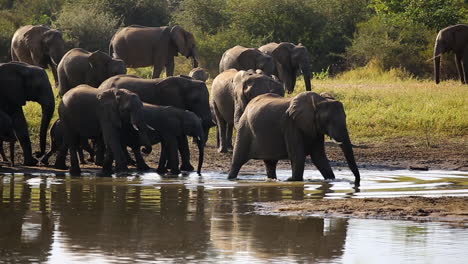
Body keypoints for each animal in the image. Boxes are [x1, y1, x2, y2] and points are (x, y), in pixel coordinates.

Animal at [229, 92, 360, 187]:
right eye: (328, 120)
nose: (356, 183)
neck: (319, 101)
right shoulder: (290, 124)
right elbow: (298, 155)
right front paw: (293, 180)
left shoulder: (315, 129)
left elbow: (319, 157)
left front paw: (330, 179)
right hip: (244, 128)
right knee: (237, 161)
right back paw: (231, 179)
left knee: (270, 164)